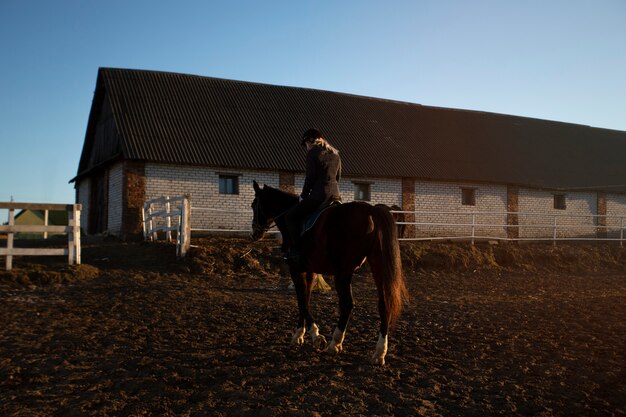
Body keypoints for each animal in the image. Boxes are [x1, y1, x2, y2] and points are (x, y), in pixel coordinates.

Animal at [251, 180, 408, 362]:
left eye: (254, 205)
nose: (254, 233)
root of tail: (372, 211)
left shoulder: (295, 269)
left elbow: (301, 300)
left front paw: (315, 336)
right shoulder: (309, 271)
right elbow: (306, 298)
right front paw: (300, 335)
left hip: (343, 273)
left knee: (347, 304)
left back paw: (335, 343)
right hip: (377, 266)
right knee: (383, 304)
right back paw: (379, 352)